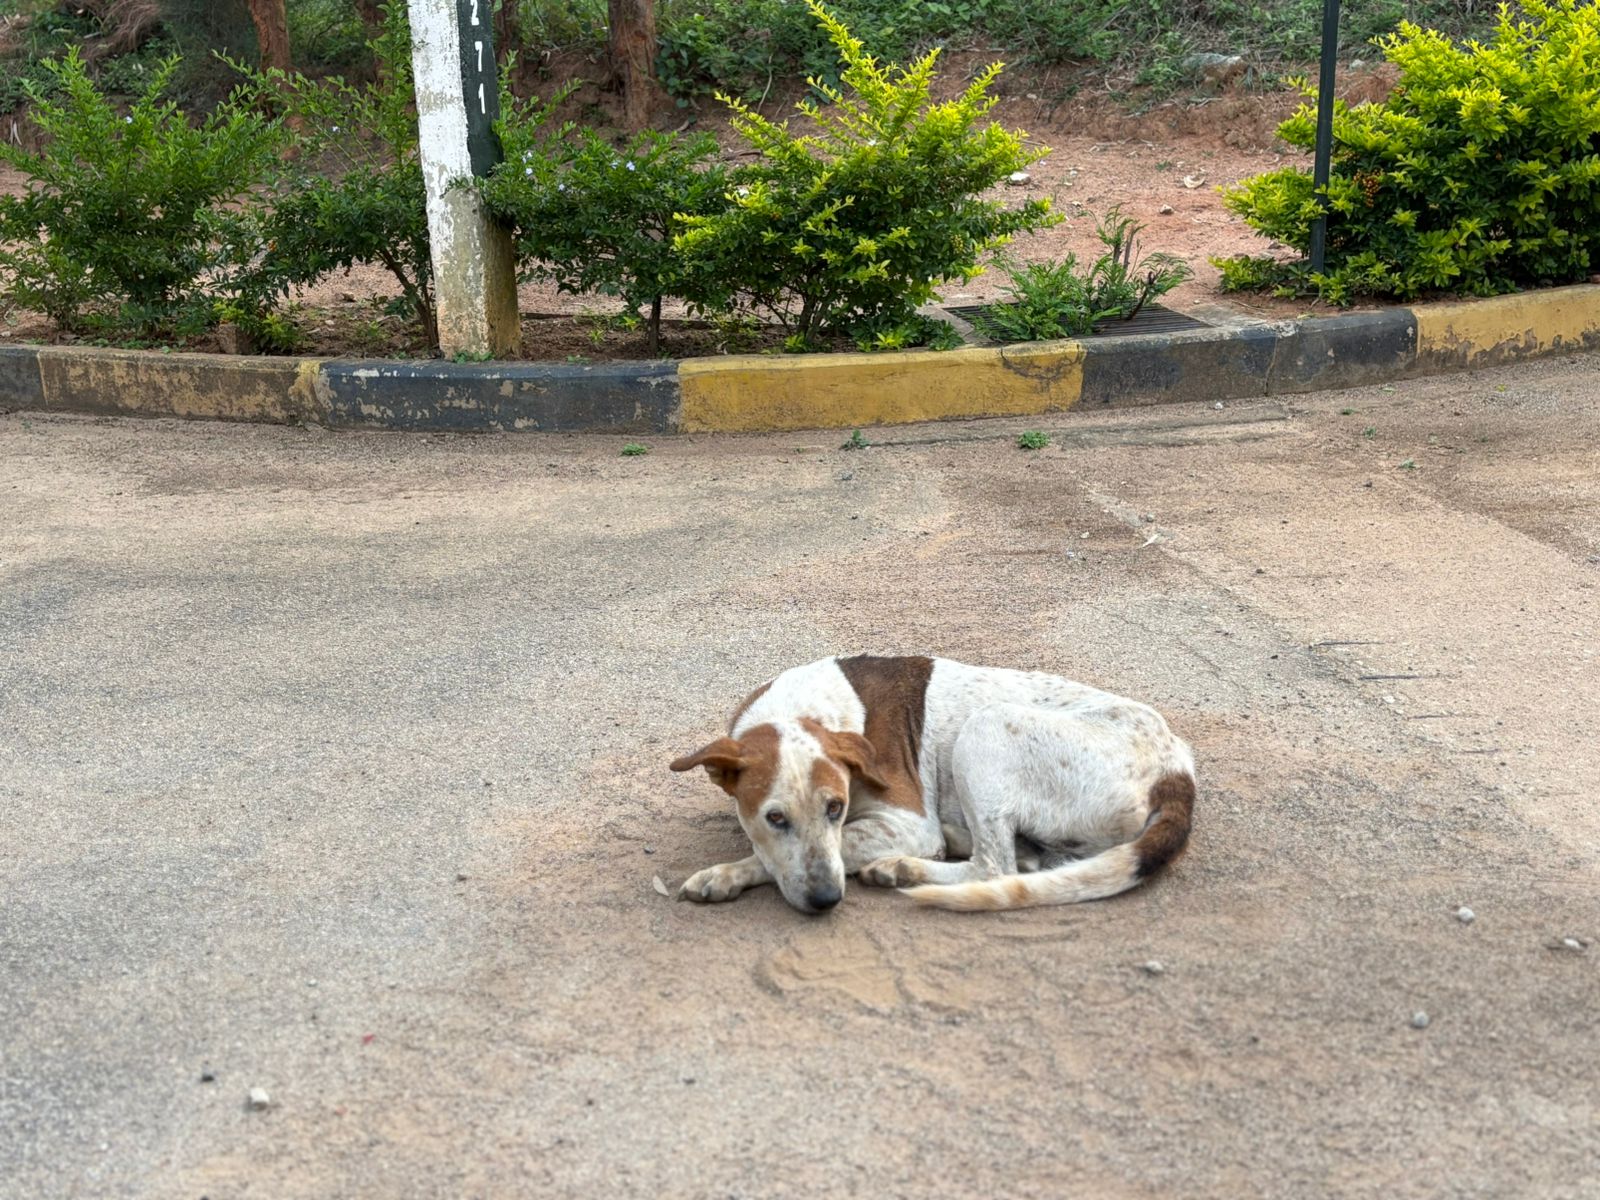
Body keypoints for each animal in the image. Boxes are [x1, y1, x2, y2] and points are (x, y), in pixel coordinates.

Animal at [670, 655, 1194, 914]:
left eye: (836, 808)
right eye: (775, 817)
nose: (826, 901)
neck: (804, 711)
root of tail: (1177, 769)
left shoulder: (910, 823)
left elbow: (774, 856)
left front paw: (726, 873)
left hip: (986, 728)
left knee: (994, 868)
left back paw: (905, 868)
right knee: (1026, 861)